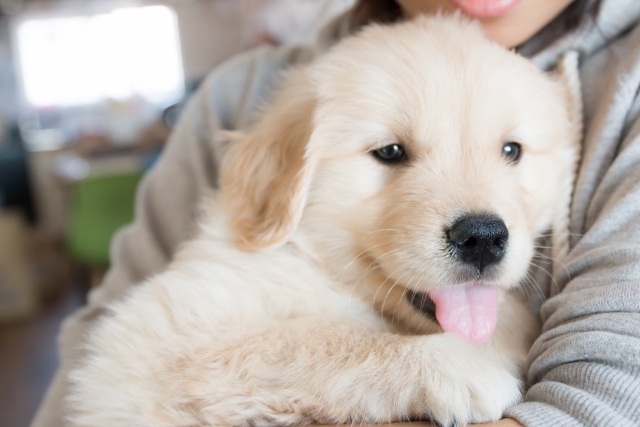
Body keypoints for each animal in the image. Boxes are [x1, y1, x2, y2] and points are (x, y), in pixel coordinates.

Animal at [67, 15, 584, 426]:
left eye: (511, 151)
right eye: (389, 152)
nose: (482, 238)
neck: (324, 269)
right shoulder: (160, 339)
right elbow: (314, 337)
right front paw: (461, 366)